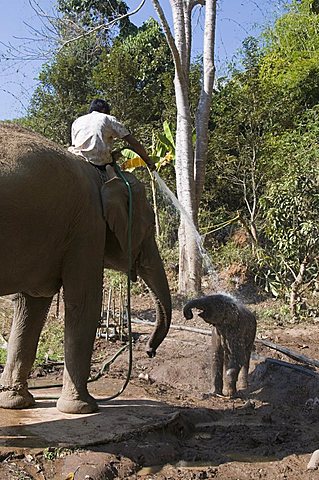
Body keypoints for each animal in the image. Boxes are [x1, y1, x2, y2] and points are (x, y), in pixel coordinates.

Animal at [0, 123, 172, 412]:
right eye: (149, 227)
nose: (150, 351)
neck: (105, 175)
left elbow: (31, 304)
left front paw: (15, 403)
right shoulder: (88, 226)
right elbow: (85, 301)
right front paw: (83, 408)